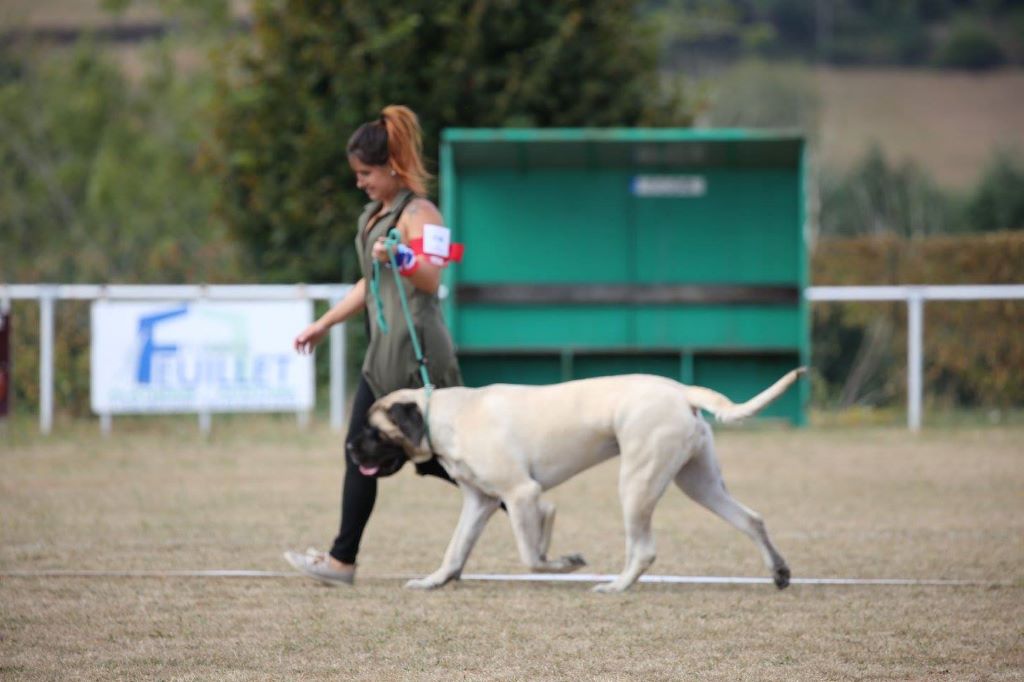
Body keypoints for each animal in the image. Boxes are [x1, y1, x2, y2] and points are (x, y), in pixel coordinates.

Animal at [352, 366, 806, 589]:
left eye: (373, 431)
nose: (351, 451)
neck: (446, 416)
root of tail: (681, 390)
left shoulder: (521, 493)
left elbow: (532, 556)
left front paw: (565, 562)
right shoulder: (480, 503)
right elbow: (454, 550)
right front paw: (435, 581)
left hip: (636, 483)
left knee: (644, 549)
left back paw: (616, 586)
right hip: (699, 484)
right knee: (751, 520)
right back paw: (779, 572)